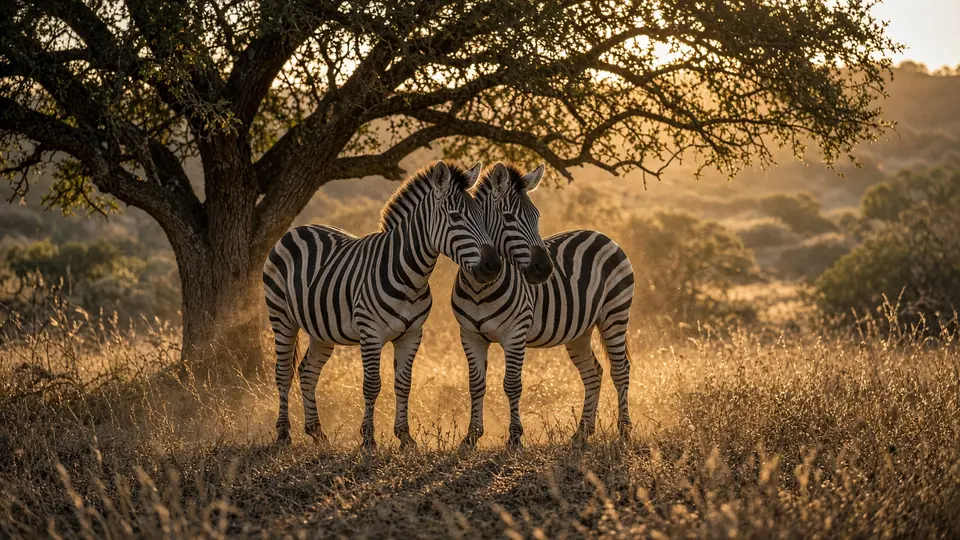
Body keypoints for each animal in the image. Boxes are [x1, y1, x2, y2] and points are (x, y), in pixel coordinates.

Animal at [263, 161, 502, 449]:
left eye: (481, 215)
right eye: (456, 217)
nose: (494, 265)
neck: (410, 276)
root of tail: (298, 229)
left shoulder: (412, 334)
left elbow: (404, 384)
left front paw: (405, 438)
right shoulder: (371, 333)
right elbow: (372, 385)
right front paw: (368, 439)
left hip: (321, 329)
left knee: (307, 371)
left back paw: (317, 433)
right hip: (281, 317)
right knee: (283, 372)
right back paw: (283, 434)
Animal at [452, 162, 635, 449]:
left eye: (537, 217)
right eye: (509, 218)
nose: (545, 269)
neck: (480, 288)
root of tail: (602, 235)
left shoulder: (515, 334)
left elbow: (512, 385)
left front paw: (515, 438)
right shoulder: (470, 335)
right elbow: (475, 385)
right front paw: (470, 437)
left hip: (615, 314)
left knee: (620, 370)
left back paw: (624, 431)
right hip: (580, 330)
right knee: (593, 372)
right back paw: (582, 433)